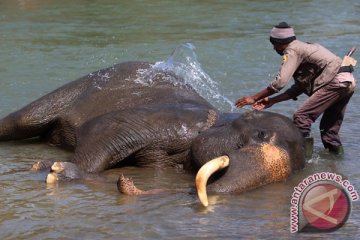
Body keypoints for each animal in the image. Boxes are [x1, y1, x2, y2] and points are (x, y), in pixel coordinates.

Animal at [0, 60, 306, 206]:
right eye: (261, 135)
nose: (124, 182)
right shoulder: (169, 122)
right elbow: (104, 128)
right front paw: (53, 170)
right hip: (68, 91)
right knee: (20, 120)